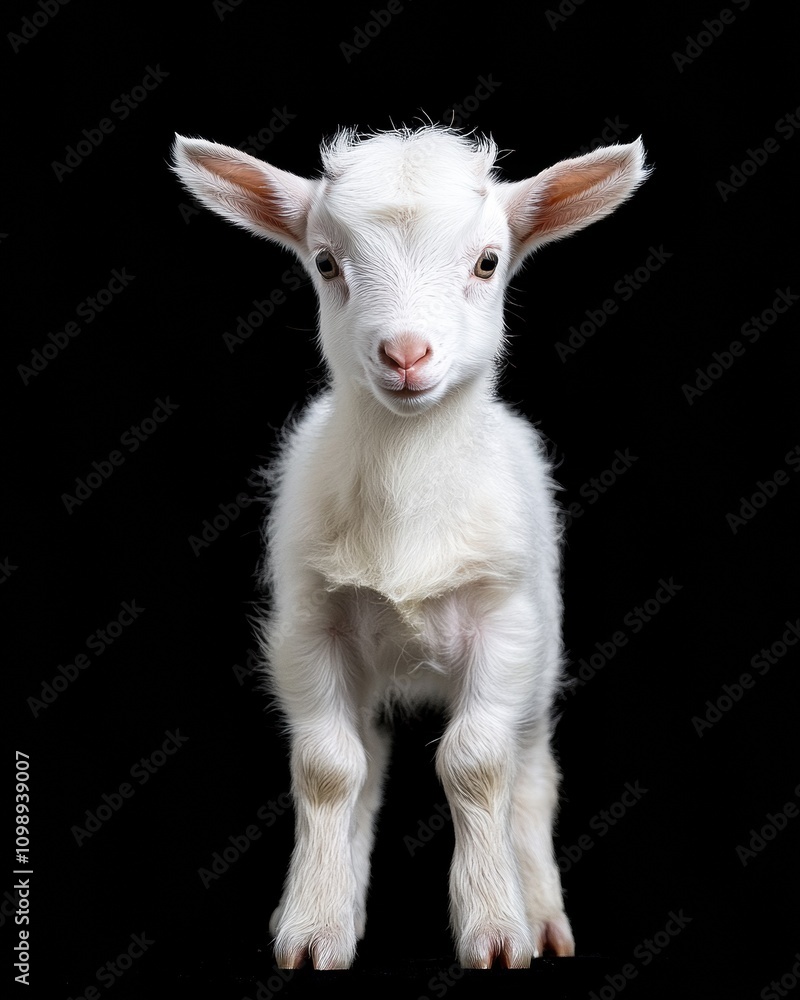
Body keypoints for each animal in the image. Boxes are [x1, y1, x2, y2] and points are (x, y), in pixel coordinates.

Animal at [171, 124, 649, 970]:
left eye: (488, 261)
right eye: (326, 262)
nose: (405, 354)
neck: (406, 497)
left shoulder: (506, 624)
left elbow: (477, 764)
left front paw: (496, 928)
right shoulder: (310, 627)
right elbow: (330, 770)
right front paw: (314, 930)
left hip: (541, 657)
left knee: (530, 772)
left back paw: (542, 913)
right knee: (365, 762)